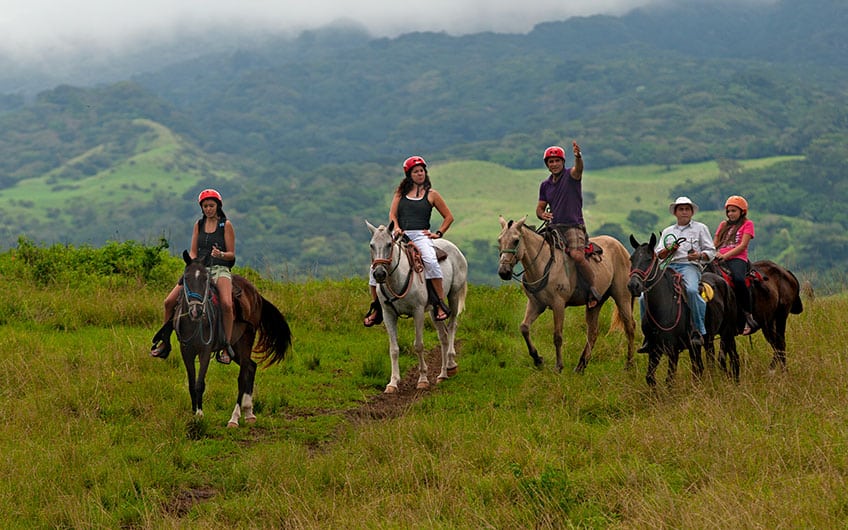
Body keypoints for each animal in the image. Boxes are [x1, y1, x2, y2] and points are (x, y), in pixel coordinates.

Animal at [366, 219, 470, 392]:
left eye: (389, 244)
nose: (379, 274)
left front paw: (422, 379)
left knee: (452, 326)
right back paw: (442, 374)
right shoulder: (388, 314)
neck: (397, 279)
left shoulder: (418, 312)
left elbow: (419, 345)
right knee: (443, 336)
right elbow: (394, 349)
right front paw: (393, 382)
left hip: (454, 296)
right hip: (435, 310)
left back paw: (451, 365)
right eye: (371, 245)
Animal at [496, 214, 636, 372]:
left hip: (623, 296)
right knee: (593, 332)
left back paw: (629, 364)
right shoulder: (536, 304)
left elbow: (557, 336)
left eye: (516, 240)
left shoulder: (558, 304)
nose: (504, 272)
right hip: (595, 303)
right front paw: (538, 359)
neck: (543, 263)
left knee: (629, 327)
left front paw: (558, 367)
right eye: (499, 240)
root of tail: (622, 248)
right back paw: (580, 366)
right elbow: (524, 328)